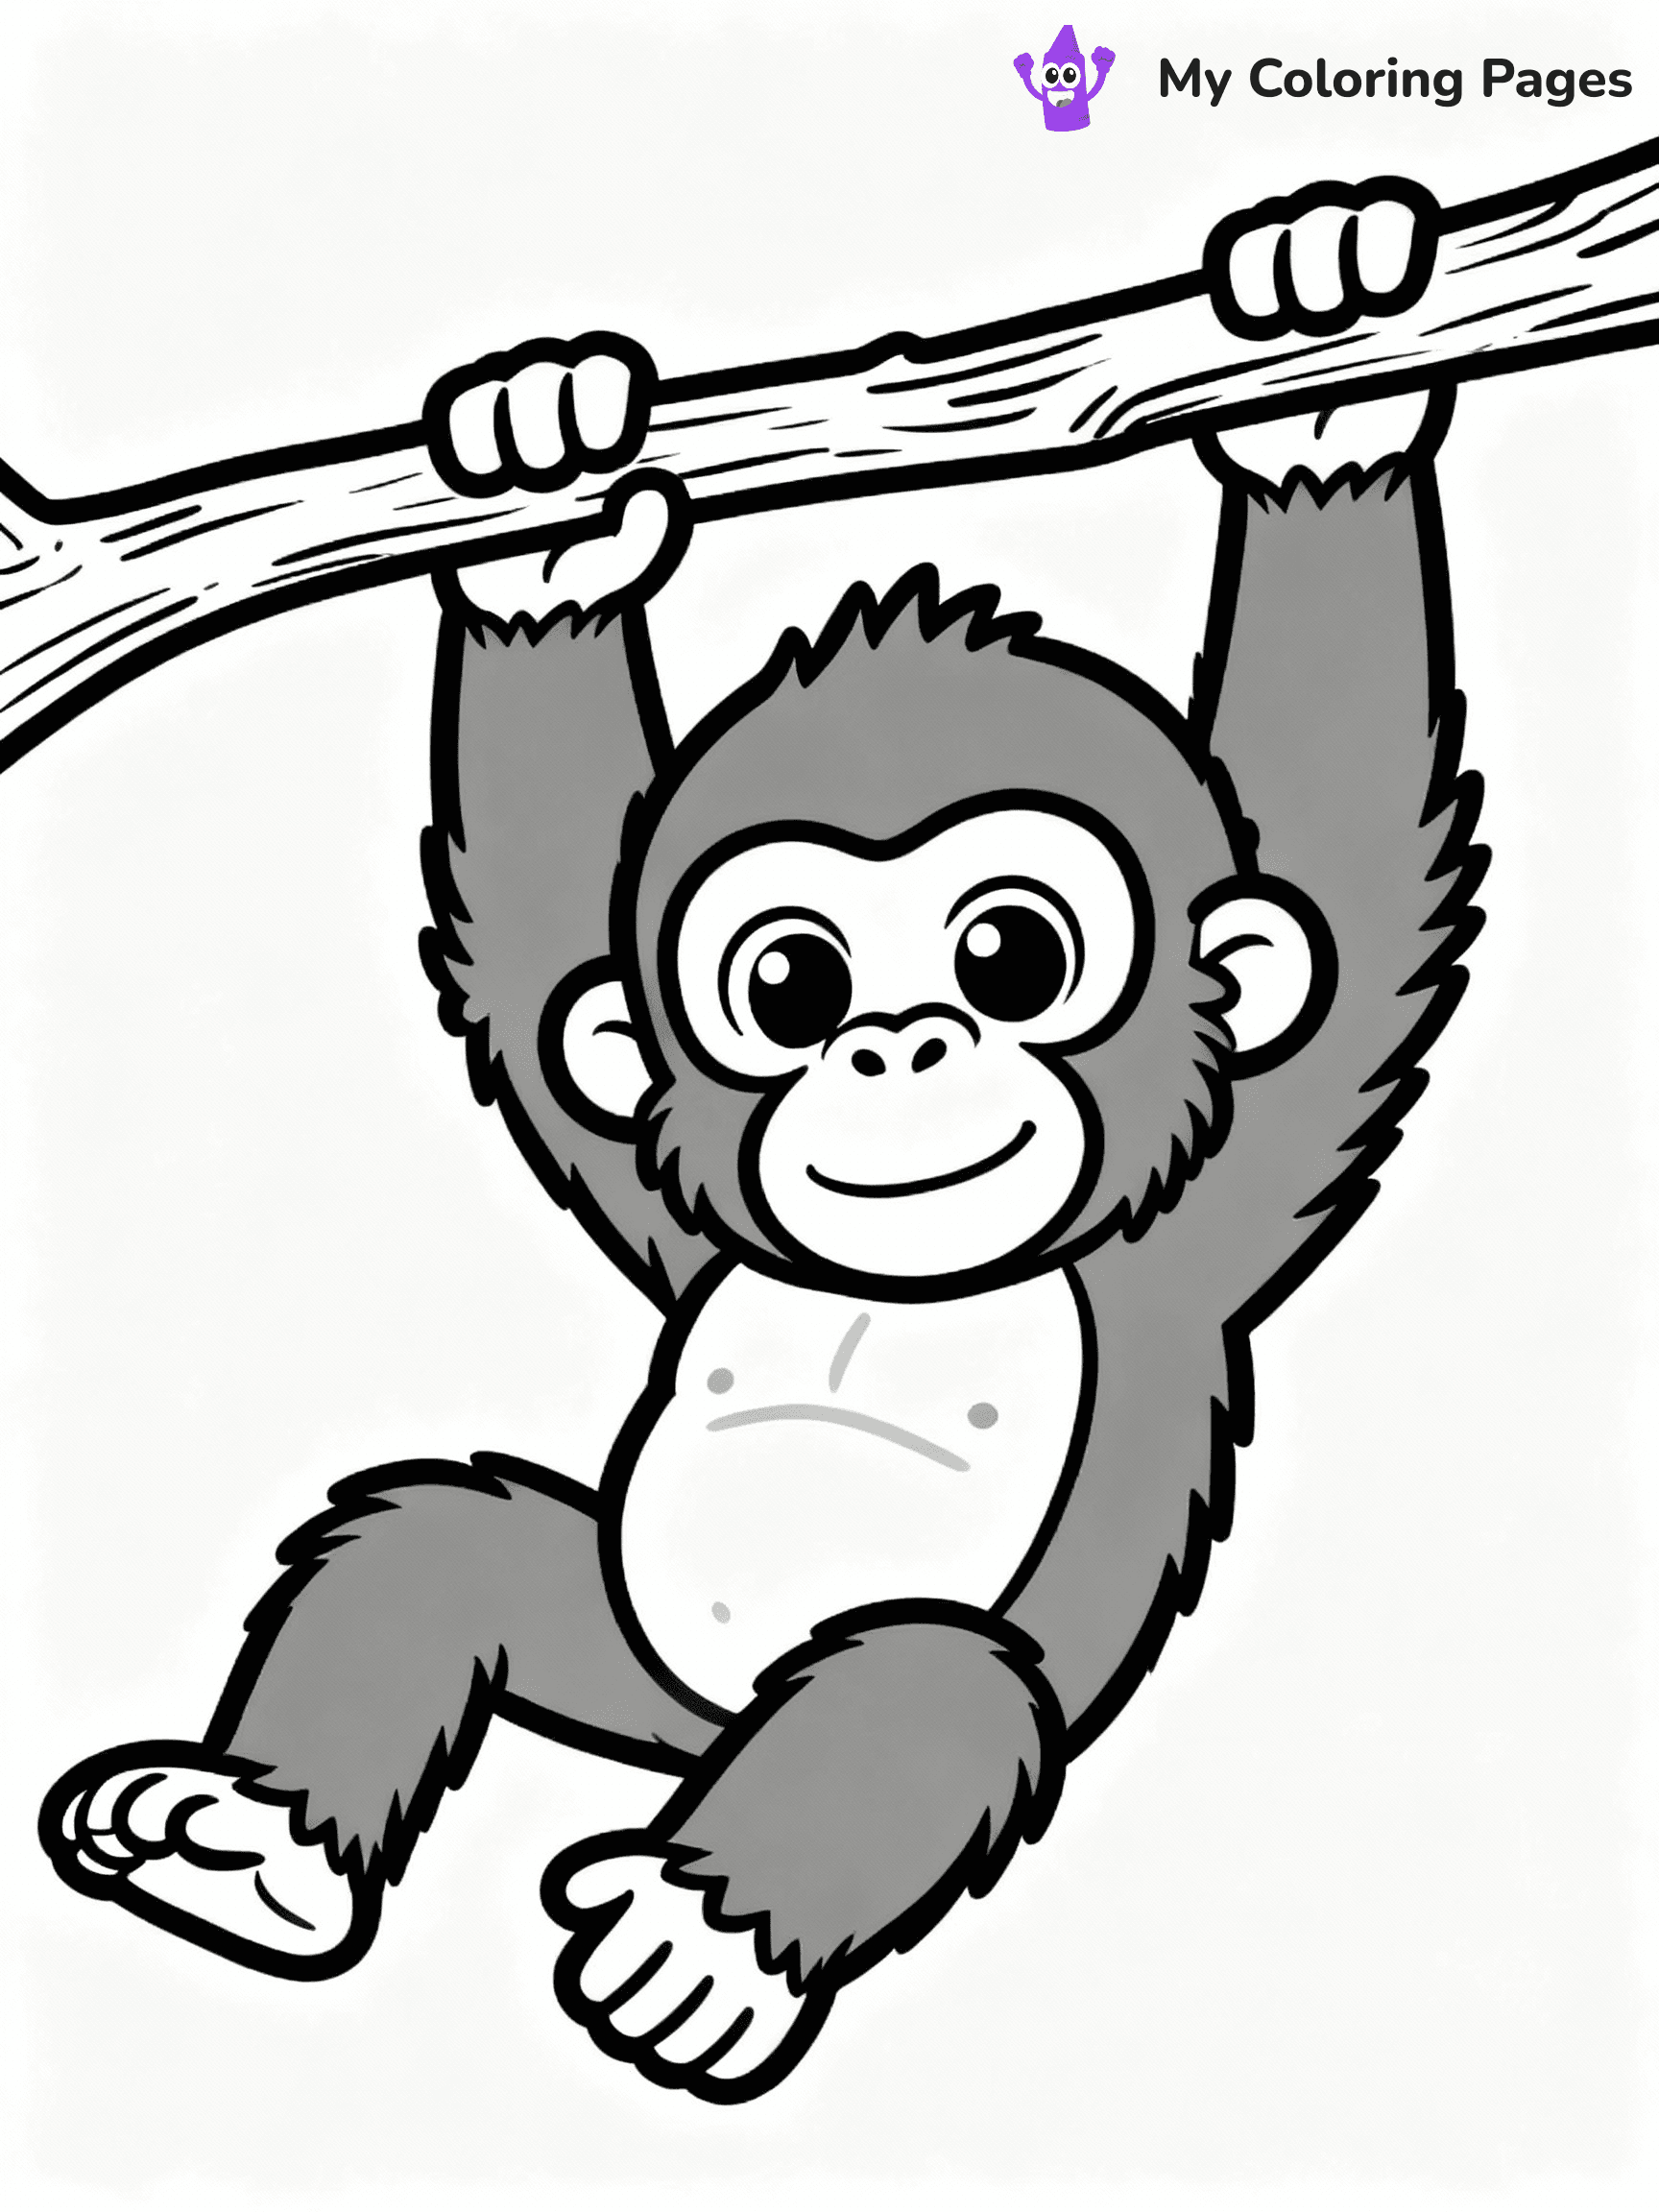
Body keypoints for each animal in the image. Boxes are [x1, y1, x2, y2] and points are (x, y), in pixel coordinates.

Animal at [40, 182, 1479, 2103]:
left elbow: (1345, 868)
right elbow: (548, 930)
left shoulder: (1186, 1229)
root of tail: (693, 1735)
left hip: (789, 1701)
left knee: (921, 1693)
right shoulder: (678, 1205)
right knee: (430, 1547)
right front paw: (544, 489)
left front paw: (1322, 367)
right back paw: (250, 1845)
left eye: (1011, 956)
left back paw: (697, 1937)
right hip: (614, 1630)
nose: (894, 1041)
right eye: (789, 982)